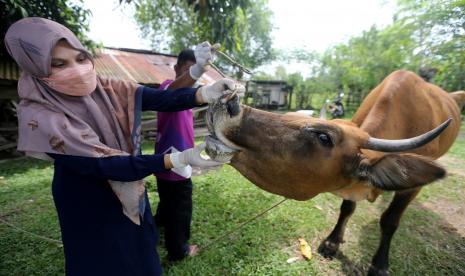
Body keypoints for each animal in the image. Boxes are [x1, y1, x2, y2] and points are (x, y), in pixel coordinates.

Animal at [205, 70, 462, 276]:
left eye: (323, 136)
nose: (228, 101)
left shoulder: (411, 189)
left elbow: (389, 221)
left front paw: (379, 265)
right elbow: (347, 208)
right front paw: (332, 242)